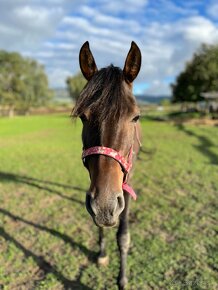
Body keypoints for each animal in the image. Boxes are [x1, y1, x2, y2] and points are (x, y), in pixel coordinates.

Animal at [72, 41, 142, 290]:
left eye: (135, 117)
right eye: (83, 117)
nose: (106, 206)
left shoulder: (125, 184)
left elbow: (123, 236)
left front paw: (122, 280)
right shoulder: (96, 186)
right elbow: (98, 219)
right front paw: (102, 254)